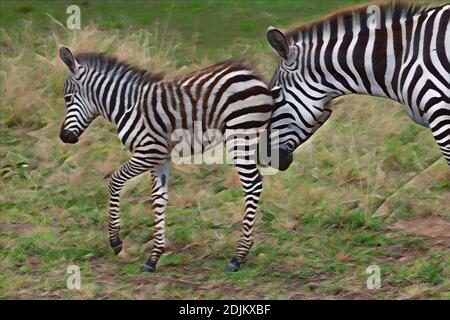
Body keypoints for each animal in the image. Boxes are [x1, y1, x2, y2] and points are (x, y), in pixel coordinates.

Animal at [58, 47, 272, 272]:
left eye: (67, 98)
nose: (63, 137)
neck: (127, 106)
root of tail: (255, 76)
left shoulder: (148, 152)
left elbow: (115, 181)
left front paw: (116, 242)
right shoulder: (160, 158)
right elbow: (158, 199)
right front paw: (154, 257)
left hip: (239, 135)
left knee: (252, 186)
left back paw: (238, 256)